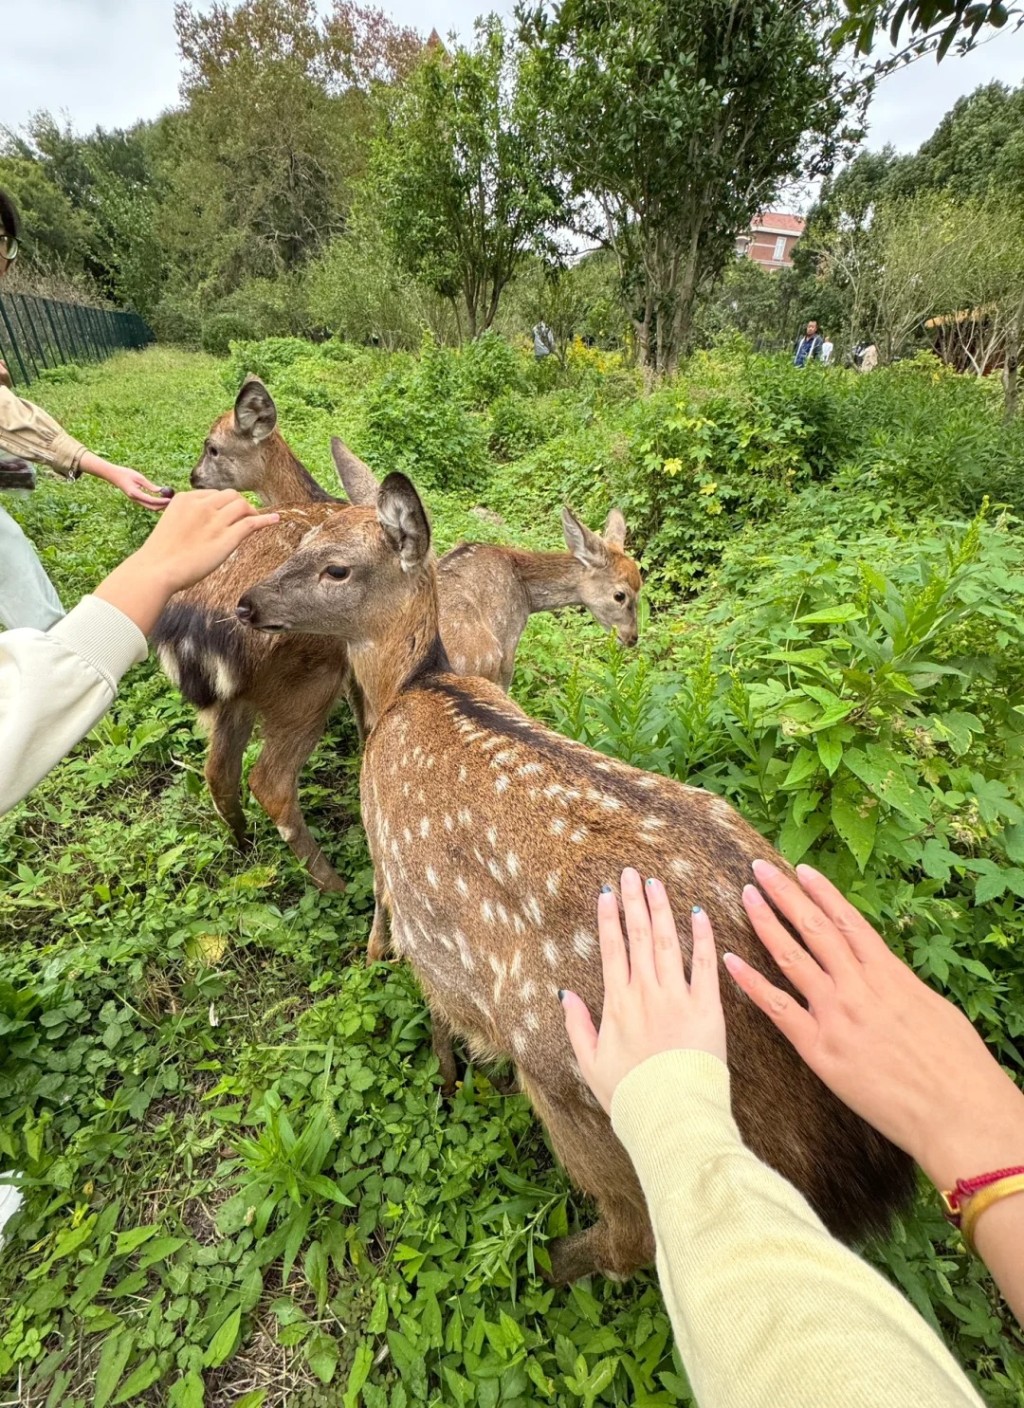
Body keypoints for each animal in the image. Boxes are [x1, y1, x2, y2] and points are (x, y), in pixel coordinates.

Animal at [156, 377, 642, 889]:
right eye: (623, 595)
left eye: (212, 447)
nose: (191, 478)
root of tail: (189, 628)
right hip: (304, 684)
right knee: (269, 781)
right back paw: (334, 883)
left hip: (241, 700)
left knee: (220, 772)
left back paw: (243, 844)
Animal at [236, 473, 918, 1289]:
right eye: (303, 539)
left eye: (335, 567)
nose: (244, 604)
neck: (413, 687)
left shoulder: (403, 884)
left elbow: (418, 985)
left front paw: (446, 1077)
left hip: (580, 1081)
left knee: (637, 1234)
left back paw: (532, 1263)